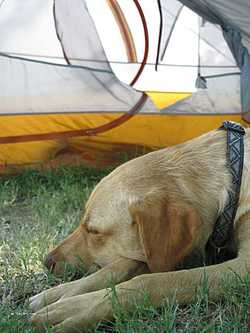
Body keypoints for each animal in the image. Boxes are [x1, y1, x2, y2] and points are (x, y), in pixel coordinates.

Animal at [29, 126, 250, 330]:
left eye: (93, 231)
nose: (46, 261)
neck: (233, 180)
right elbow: (118, 266)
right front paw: (60, 293)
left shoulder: (242, 267)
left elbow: (150, 281)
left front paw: (77, 309)